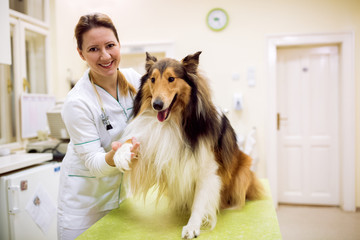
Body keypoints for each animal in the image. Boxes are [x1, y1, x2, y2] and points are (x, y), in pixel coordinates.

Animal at [115, 51, 264, 239]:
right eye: (153, 79)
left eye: (171, 78)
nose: (157, 105)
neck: (175, 121)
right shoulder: (155, 144)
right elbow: (135, 141)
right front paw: (120, 155)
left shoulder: (208, 170)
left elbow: (199, 201)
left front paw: (192, 226)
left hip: (243, 171)